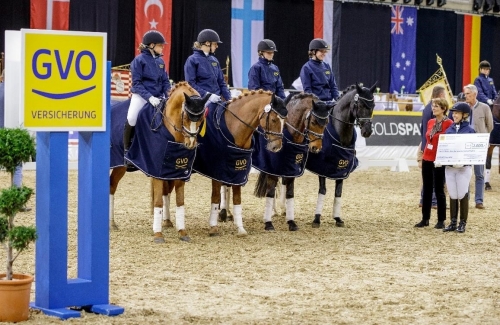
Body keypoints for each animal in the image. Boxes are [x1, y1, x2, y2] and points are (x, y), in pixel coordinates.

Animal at [109, 82, 209, 242]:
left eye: (200, 119)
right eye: (186, 116)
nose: (191, 144)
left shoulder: (179, 171)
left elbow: (180, 201)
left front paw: (182, 232)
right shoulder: (156, 170)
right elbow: (158, 201)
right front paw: (158, 234)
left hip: (121, 167)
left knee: (112, 185)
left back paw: (112, 223)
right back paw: (111, 223)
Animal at [192, 90, 288, 237]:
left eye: (285, 121)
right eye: (273, 119)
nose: (276, 147)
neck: (234, 126)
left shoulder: (238, 170)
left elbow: (237, 198)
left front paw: (240, 228)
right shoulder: (217, 171)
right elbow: (215, 197)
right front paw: (213, 227)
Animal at [252, 92, 334, 230]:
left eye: (327, 122)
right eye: (313, 121)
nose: (316, 148)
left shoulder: (291, 169)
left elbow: (290, 193)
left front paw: (291, 222)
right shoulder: (272, 169)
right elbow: (270, 192)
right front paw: (268, 223)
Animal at [302, 82, 376, 227]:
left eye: (373, 106)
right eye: (360, 105)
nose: (367, 131)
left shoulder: (342, 167)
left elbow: (338, 192)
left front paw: (337, 218)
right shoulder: (322, 168)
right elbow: (323, 190)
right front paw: (316, 219)